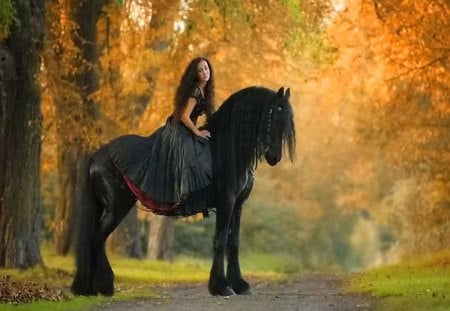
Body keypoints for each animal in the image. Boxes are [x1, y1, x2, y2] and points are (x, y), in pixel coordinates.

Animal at [70, 85, 296, 298]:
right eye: (272, 116)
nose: (274, 157)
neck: (227, 150)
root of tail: (97, 155)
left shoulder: (238, 204)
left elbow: (234, 242)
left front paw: (240, 285)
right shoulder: (226, 202)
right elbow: (221, 240)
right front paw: (222, 287)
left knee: (97, 240)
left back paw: (94, 288)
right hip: (116, 207)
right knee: (96, 239)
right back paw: (103, 286)